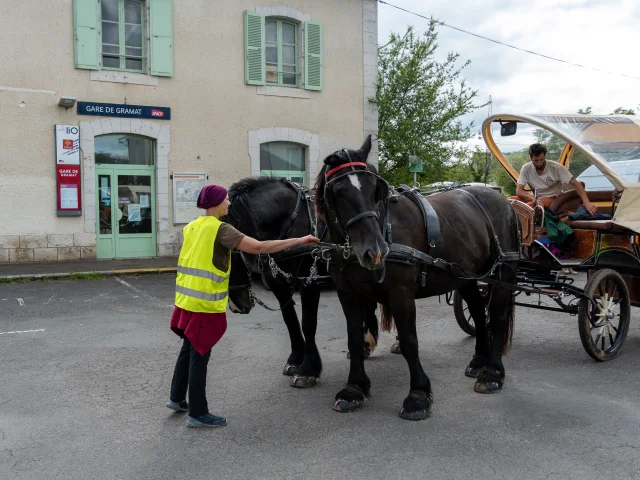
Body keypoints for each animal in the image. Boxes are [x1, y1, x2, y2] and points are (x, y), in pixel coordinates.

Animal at [224, 178, 380, 388]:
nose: (236, 306)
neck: (289, 223)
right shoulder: (278, 285)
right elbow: (290, 320)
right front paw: (295, 360)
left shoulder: (309, 282)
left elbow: (308, 323)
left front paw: (308, 369)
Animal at [316, 135, 520, 420]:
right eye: (337, 191)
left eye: (374, 189)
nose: (374, 251)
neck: (384, 227)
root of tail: (503, 201)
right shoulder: (348, 294)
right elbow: (355, 339)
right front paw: (353, 389)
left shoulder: (400, 293)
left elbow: (410, 342)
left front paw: (418, 395)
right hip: (467, 277)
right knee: (479, 315)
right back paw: (478, 362)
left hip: (502, 274)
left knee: (498, 318)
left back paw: (492, 373)